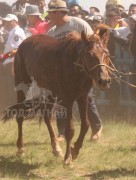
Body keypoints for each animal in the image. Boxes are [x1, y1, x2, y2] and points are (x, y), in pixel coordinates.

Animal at [2, 30, 111, 165]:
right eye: (90, 55)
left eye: (107, 53)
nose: (104, 81)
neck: (75, 66)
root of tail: (22, 44)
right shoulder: (67, 99)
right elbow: (69, 130)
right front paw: (68, 158)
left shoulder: (83, 97)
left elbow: (85, 125)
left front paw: (75, 151)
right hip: (22, 82)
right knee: (20, 116)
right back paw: (21, 148)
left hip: (50, 92)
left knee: (47, 117)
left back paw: (56, 148)